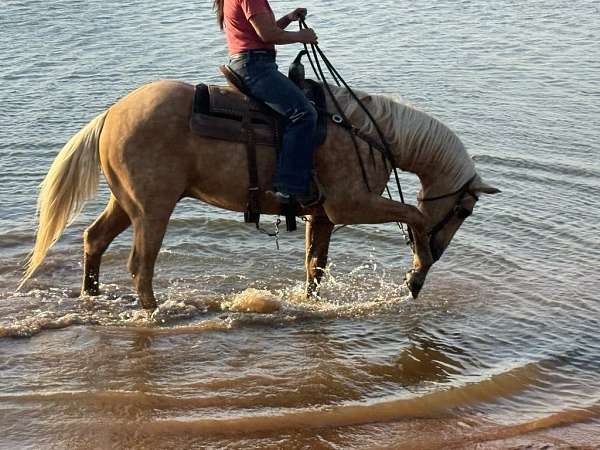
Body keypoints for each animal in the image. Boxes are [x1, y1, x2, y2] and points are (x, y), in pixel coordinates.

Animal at [19, 80, 496, 310]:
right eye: (466, 210)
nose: (440, 249)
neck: (366, 132)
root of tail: (112, 113)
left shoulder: (323, 216)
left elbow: (315, 267)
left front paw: (309, 304)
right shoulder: (351, 204)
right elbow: (414, 217)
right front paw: (416, 275)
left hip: (125, 203)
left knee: (94, 240)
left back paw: (92, 297)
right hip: (153, 209)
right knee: (140, 267)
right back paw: (154, 313)